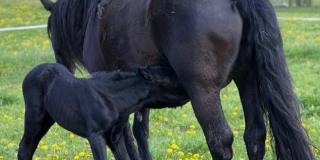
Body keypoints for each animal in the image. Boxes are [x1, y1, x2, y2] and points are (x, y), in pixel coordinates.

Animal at [17, 63, 188, 160]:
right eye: (172, 79)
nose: (189, 93)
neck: (113, 100)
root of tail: (29, 74)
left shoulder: (115, 138)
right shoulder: (95, 136)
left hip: (47, 120)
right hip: (35, 118)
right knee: (25, 148)